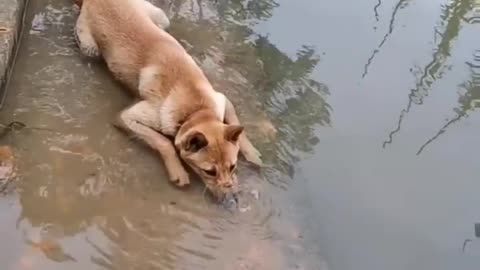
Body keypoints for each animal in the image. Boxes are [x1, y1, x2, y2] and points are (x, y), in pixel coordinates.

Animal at [72, 0, 262, 200]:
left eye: (233, 167)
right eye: (209, 172)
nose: (231, 196)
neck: (197, 111)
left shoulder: (221, 99)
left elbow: (236, 123)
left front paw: (251, 153)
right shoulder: (126, 117)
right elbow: (164, 142)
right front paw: (177, 170)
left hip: (161, 18)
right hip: (90, 48)